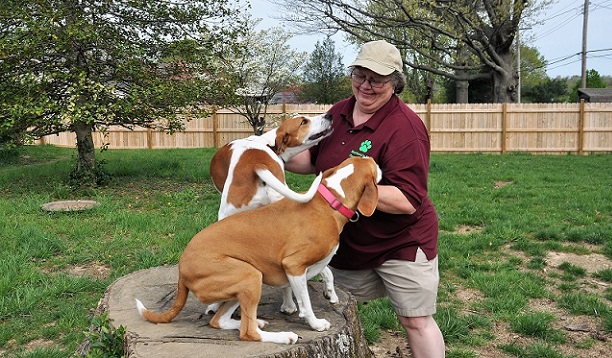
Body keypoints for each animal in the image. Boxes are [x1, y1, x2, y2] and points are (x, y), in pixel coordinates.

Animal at [136, 157, 380, 344]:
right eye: (373, 164)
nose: (378, 162)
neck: (330, 201)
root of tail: (182, 271)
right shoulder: (293, 265)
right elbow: (306, 303)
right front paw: (315, 323)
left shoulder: (297, 268)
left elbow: (318, 276)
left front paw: (317, 296)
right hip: (251, 275)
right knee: (248, 333)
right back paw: (282, 336)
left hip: (247, 281)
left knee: (220, 321)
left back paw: (253, 321)